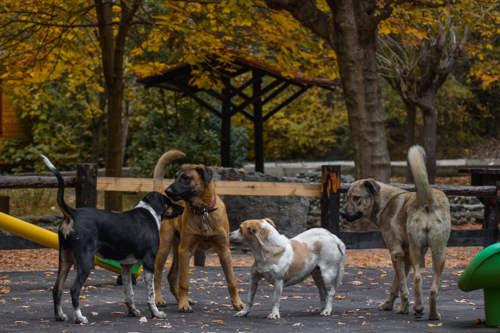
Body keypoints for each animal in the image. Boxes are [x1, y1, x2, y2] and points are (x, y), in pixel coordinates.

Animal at [41, 154, 182, 322]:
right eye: (168, 202)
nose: (183, 208)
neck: (149, 212)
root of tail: (73, 213)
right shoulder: (149, 262)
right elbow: (151, 294)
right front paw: (156, 313)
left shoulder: (126, 266)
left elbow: (129, 293)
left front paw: (133, 311)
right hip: (85, 262)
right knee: (74, 290)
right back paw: (80, 318)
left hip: (65, 260)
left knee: (57, 288)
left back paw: (60, 315)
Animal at [153, 150, 245, 312]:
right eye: (175, 177)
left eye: (186, 178)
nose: (168, 191)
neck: (203, 211)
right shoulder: (186, 250)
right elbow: (184, 281)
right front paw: (183, 304)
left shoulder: (224, 251)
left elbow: (231, 280)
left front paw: (237, 303)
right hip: (165, 248)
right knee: (157, 276)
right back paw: (160, 299)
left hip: (179, 250)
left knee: (171, 276)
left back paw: (180, 299)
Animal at [342, 145, 452, 320]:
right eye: (347, 197)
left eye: (356, 198)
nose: (341, 213)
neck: (385, 202)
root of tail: (428, 199)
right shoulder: (404, 257)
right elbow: (396, 285)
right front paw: (389, 305)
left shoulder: (396, 253)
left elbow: (401, 287)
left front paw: (403, 308)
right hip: (439, 253)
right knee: (433, 289)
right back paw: (434, 315)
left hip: (416, 251)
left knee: (417, 278)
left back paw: (418, 308)